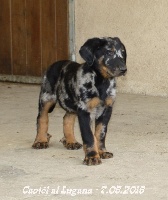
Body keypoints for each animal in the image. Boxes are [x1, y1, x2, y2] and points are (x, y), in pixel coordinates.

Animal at [32, 36, 126, 165]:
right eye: (109, 52)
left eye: (123, 52)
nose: (124, 69)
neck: (101, 82)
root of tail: (54, 64)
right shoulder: (84, 111)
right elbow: (89, 136)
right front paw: (92, 156)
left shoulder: (106, 110)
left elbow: (100, 134)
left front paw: (102, 152)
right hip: (47, 98)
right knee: (42, 118)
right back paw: (40, 140)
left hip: (70, 103)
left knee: (67, 118)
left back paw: (71, 141)